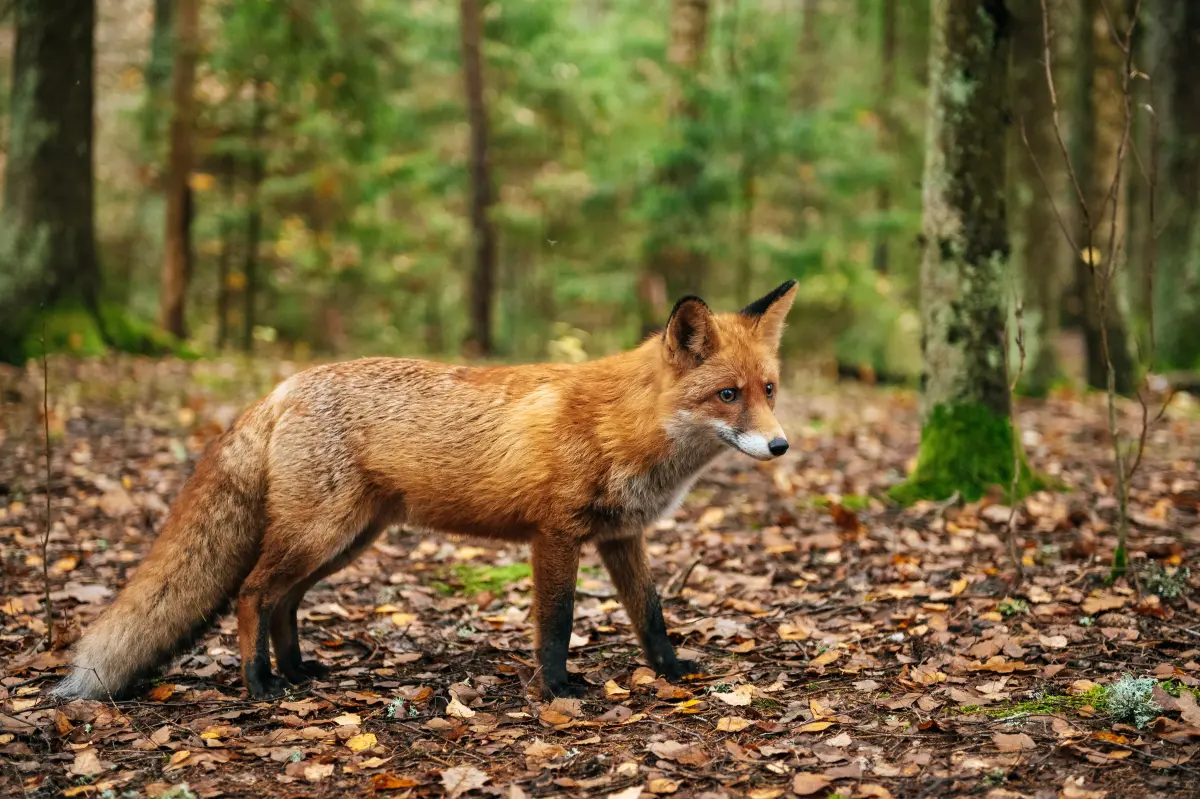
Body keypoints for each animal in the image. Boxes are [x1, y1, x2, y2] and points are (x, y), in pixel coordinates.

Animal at [51, 280, 798, 701]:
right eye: (727, 396)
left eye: (768, 390)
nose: (780, 446)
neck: (623, 426)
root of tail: (283, 386)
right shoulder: (555, 534)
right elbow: (556, 623)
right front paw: (558, 690)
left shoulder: (622, 535)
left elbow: (651, 615)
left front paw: (671, 674)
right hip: (319, 533)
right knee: (253, 592)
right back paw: (259, 684)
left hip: (348, 540)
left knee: (284, 600)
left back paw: (297, 673)